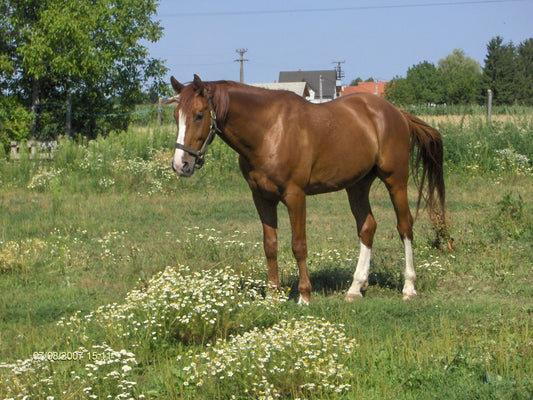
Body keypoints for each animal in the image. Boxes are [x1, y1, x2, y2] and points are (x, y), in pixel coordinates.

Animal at [170, 74, 444, 304]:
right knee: (367, 228)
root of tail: (395, 112)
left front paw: (304, 296)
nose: (181, 164)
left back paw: (409, 287)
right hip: (357, 186)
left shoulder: (295, 196)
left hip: (395, 180)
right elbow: (270, 245)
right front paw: (272, 295)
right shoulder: (261, 198)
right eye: (175, 116)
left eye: (199, 115)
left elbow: (298, 245)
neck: (269, 131)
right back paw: (355, 288)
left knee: (405, 227)